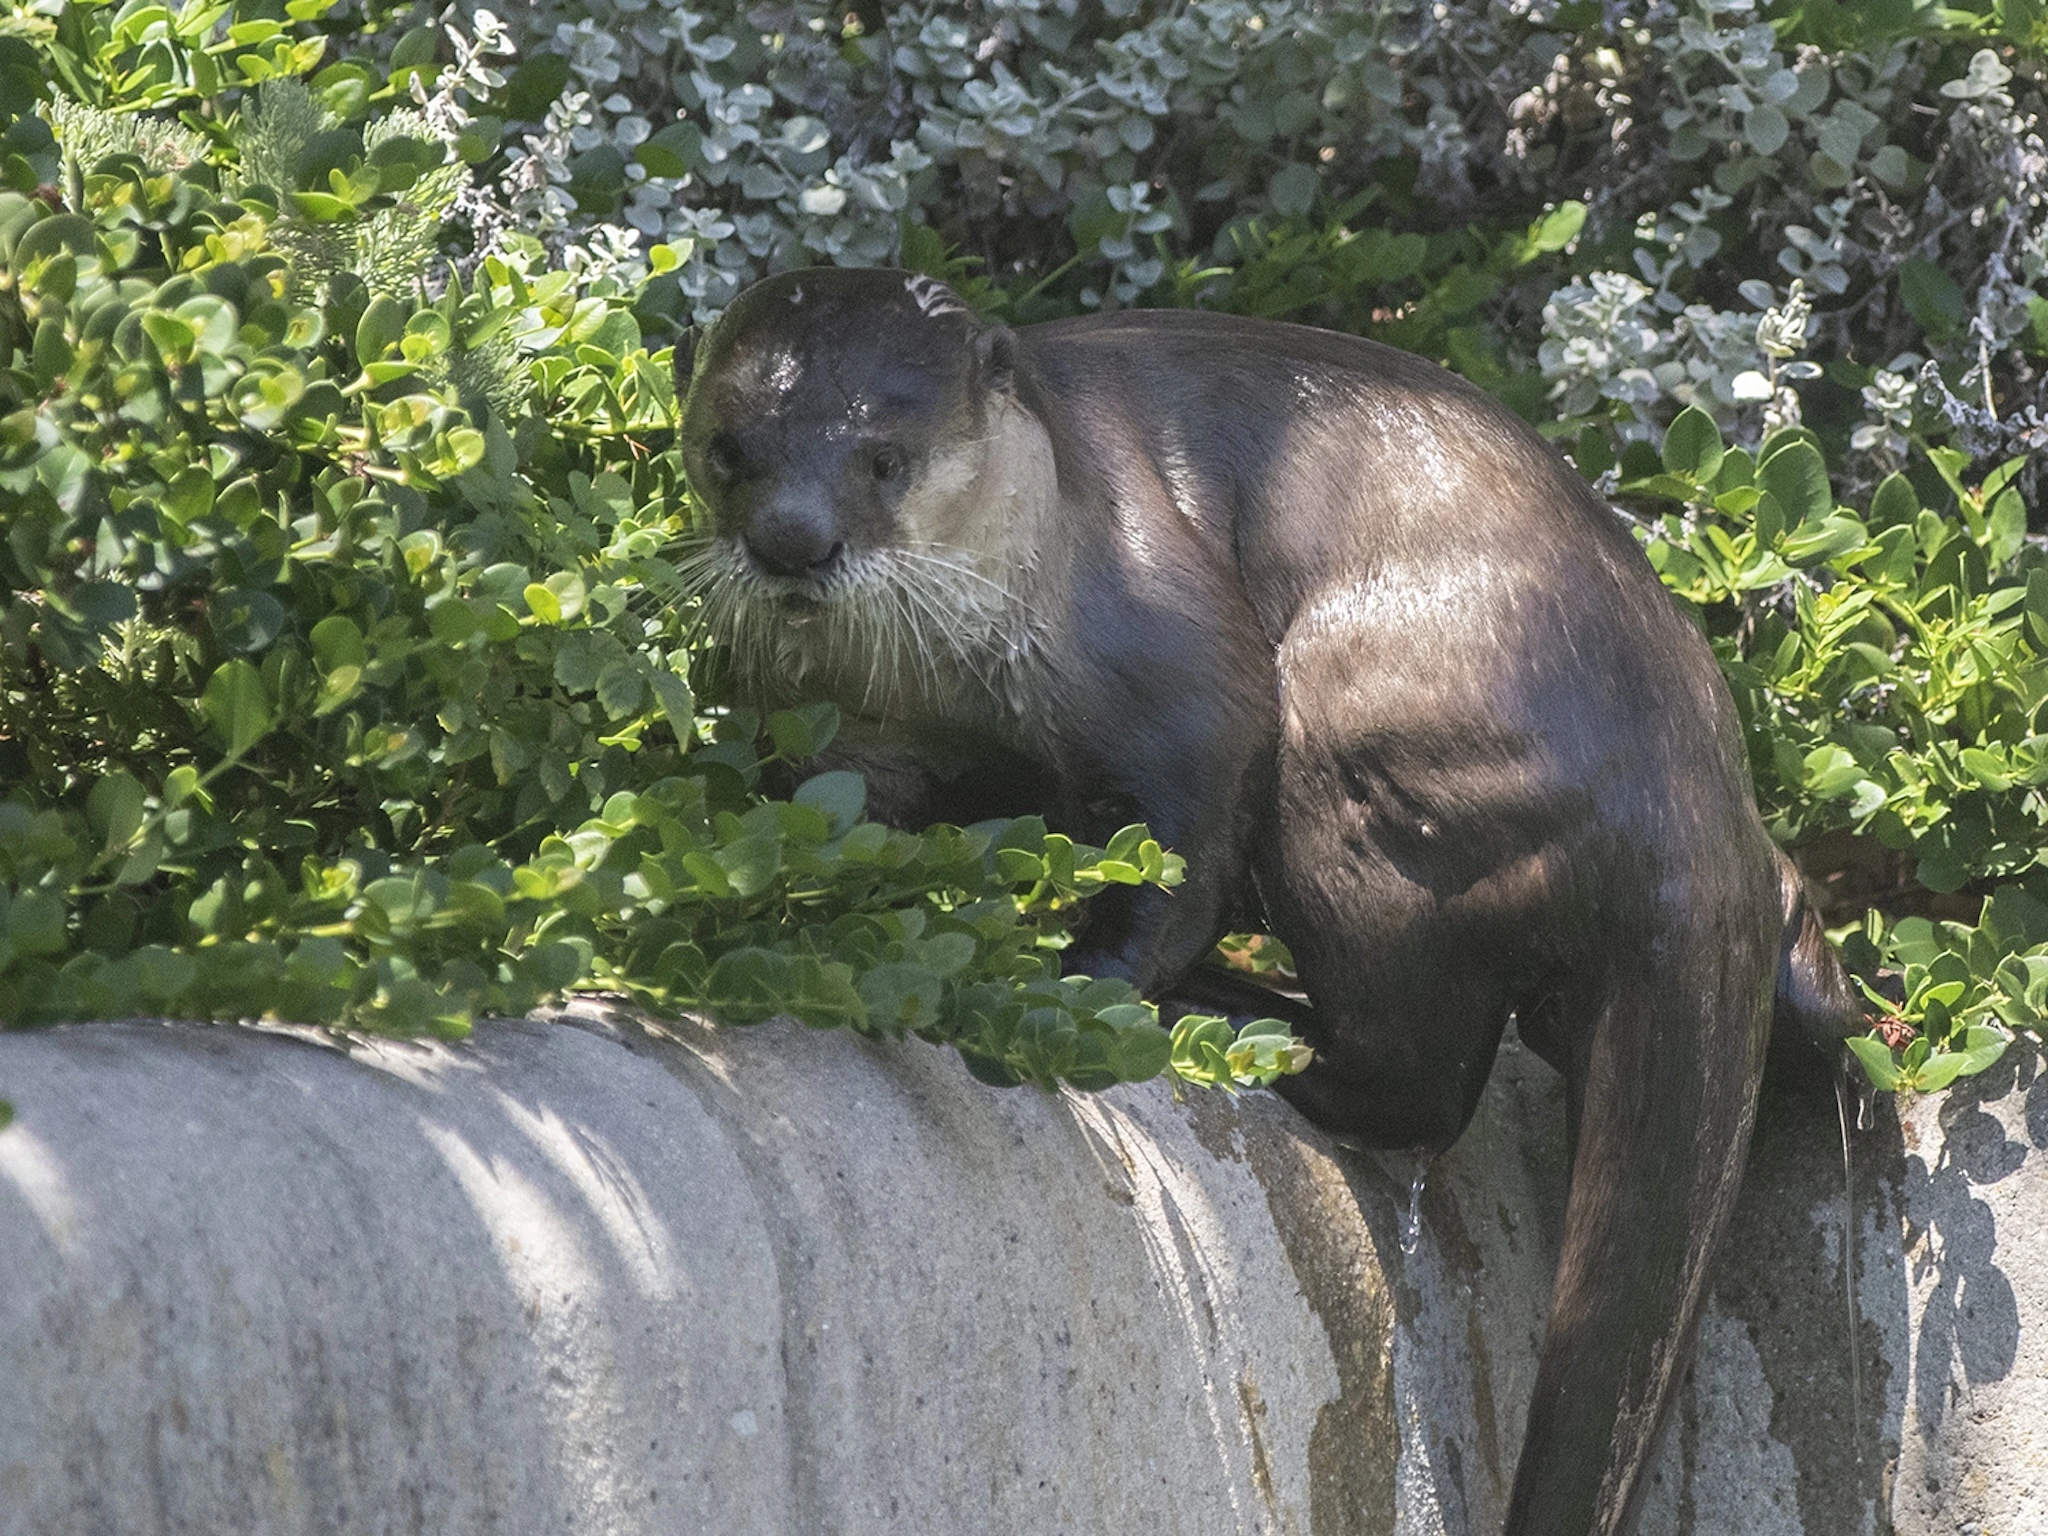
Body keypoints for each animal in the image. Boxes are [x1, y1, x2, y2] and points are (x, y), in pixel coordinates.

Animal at [675, 267, 1861, 1536]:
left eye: (883, 460)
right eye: (729, 450)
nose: (791, 541)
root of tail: (1676, 822)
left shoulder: (1171, 667)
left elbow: (1179, 837)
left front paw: (1074, 988)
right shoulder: (845, 735)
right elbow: (844, 818)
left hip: (1358, 745)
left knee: (1415, 1076)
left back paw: (1264, 1036)